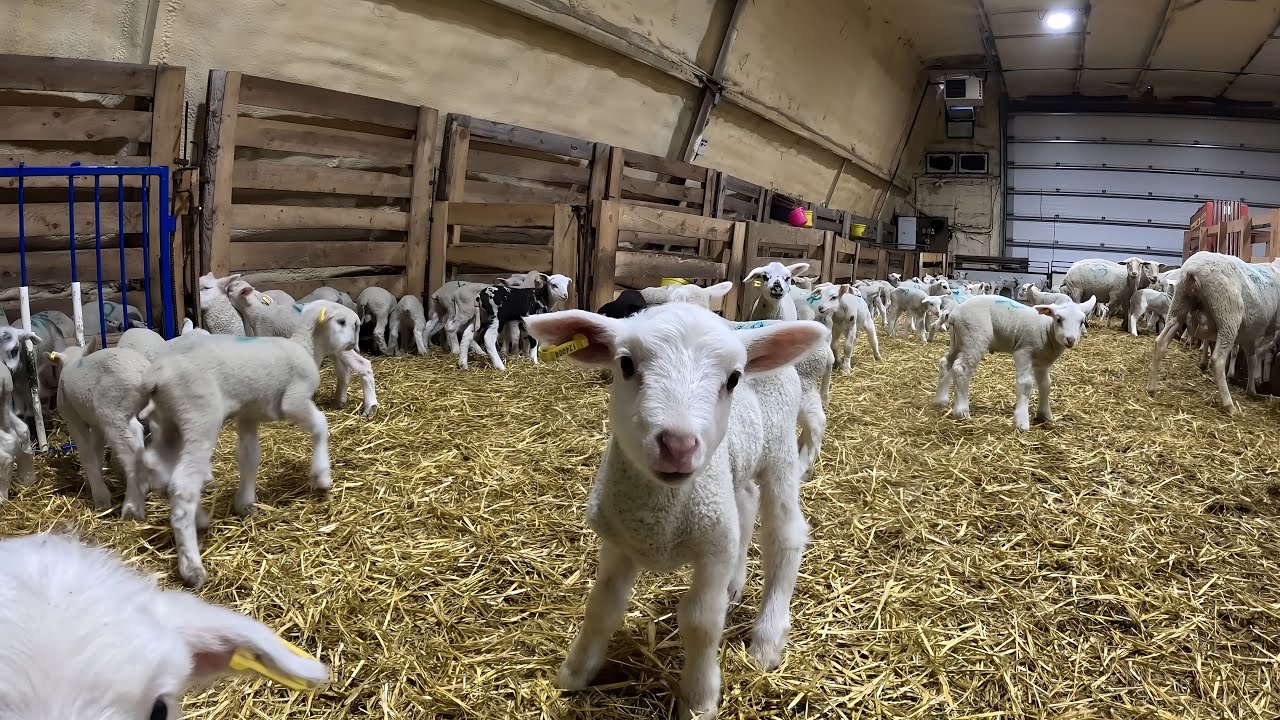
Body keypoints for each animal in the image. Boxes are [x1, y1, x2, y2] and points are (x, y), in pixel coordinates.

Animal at [49, 338, 152, 518]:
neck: (73, 360)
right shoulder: (97, 425)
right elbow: (96, 452)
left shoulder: (73, 418)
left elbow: (87, 455)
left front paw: (100, 498)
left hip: (114, 412)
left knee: (133, 451)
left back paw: (132, 508)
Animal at [140, 301, 358, 587]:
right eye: (343, 322)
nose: (352, 345)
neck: (306, 347)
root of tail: (157, 377)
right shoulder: (294, 400)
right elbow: (321, 424)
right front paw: (322, 477)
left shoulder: (248, 414)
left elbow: (250, 457)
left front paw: (244, 503)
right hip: (199, 416)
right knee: (183, 485)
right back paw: (192, 567)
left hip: (167, 422)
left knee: (157, 466)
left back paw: (199, 518)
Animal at [524, 303, 826, 719]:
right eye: (626, 364)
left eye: (733, 379)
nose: (678, 446)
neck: (661, 517)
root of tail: (755, 327)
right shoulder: (619, 540)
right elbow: (602, 607)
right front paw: (574, 673)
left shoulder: (711, 548)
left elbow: (701, 622)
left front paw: (699, 699)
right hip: (733, 476)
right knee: (745, 502)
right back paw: (735, 585)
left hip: (778, 451)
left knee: (785, 534)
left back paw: (767, 639)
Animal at [934, 295, 1097, 431]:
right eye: (1058, 319)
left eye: (1082, 322)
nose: (1070, 339)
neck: (1047, 330)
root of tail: (955, 313)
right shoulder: (1023, 352)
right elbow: (1026, 384)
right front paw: (1021, 422)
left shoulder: (1043, 363)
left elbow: (1046, 385)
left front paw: (1045, 415)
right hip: (973, 337)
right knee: (961, 369)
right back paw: (961, 411)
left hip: (958, 340)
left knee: (946, 363)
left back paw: (940, 401)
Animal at [1147, 253, 1280, 413]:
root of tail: (1193, 269)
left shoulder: (1249, 334)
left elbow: (1252, 359)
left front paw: (1251, 390)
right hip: (1228, 315)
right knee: (1217, 360)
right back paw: (1229, 405)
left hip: (1179, 305)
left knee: (1160, 342)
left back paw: (1151, 388)